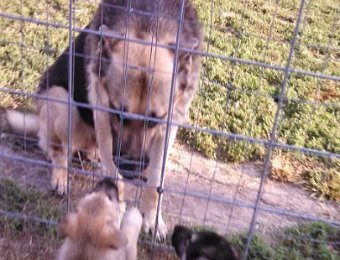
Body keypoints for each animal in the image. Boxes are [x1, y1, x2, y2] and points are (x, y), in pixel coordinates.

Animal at [4, 0, 202, 240]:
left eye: (155, 120)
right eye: (118, 114)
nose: (131, 169)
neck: (149, 22)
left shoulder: (170, 125)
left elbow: (155, 182)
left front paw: (153, 220)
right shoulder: (103, 119)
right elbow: (115, 179)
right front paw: (114, 214)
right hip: (62, 102)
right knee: (56, 149)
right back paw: (61, 174)